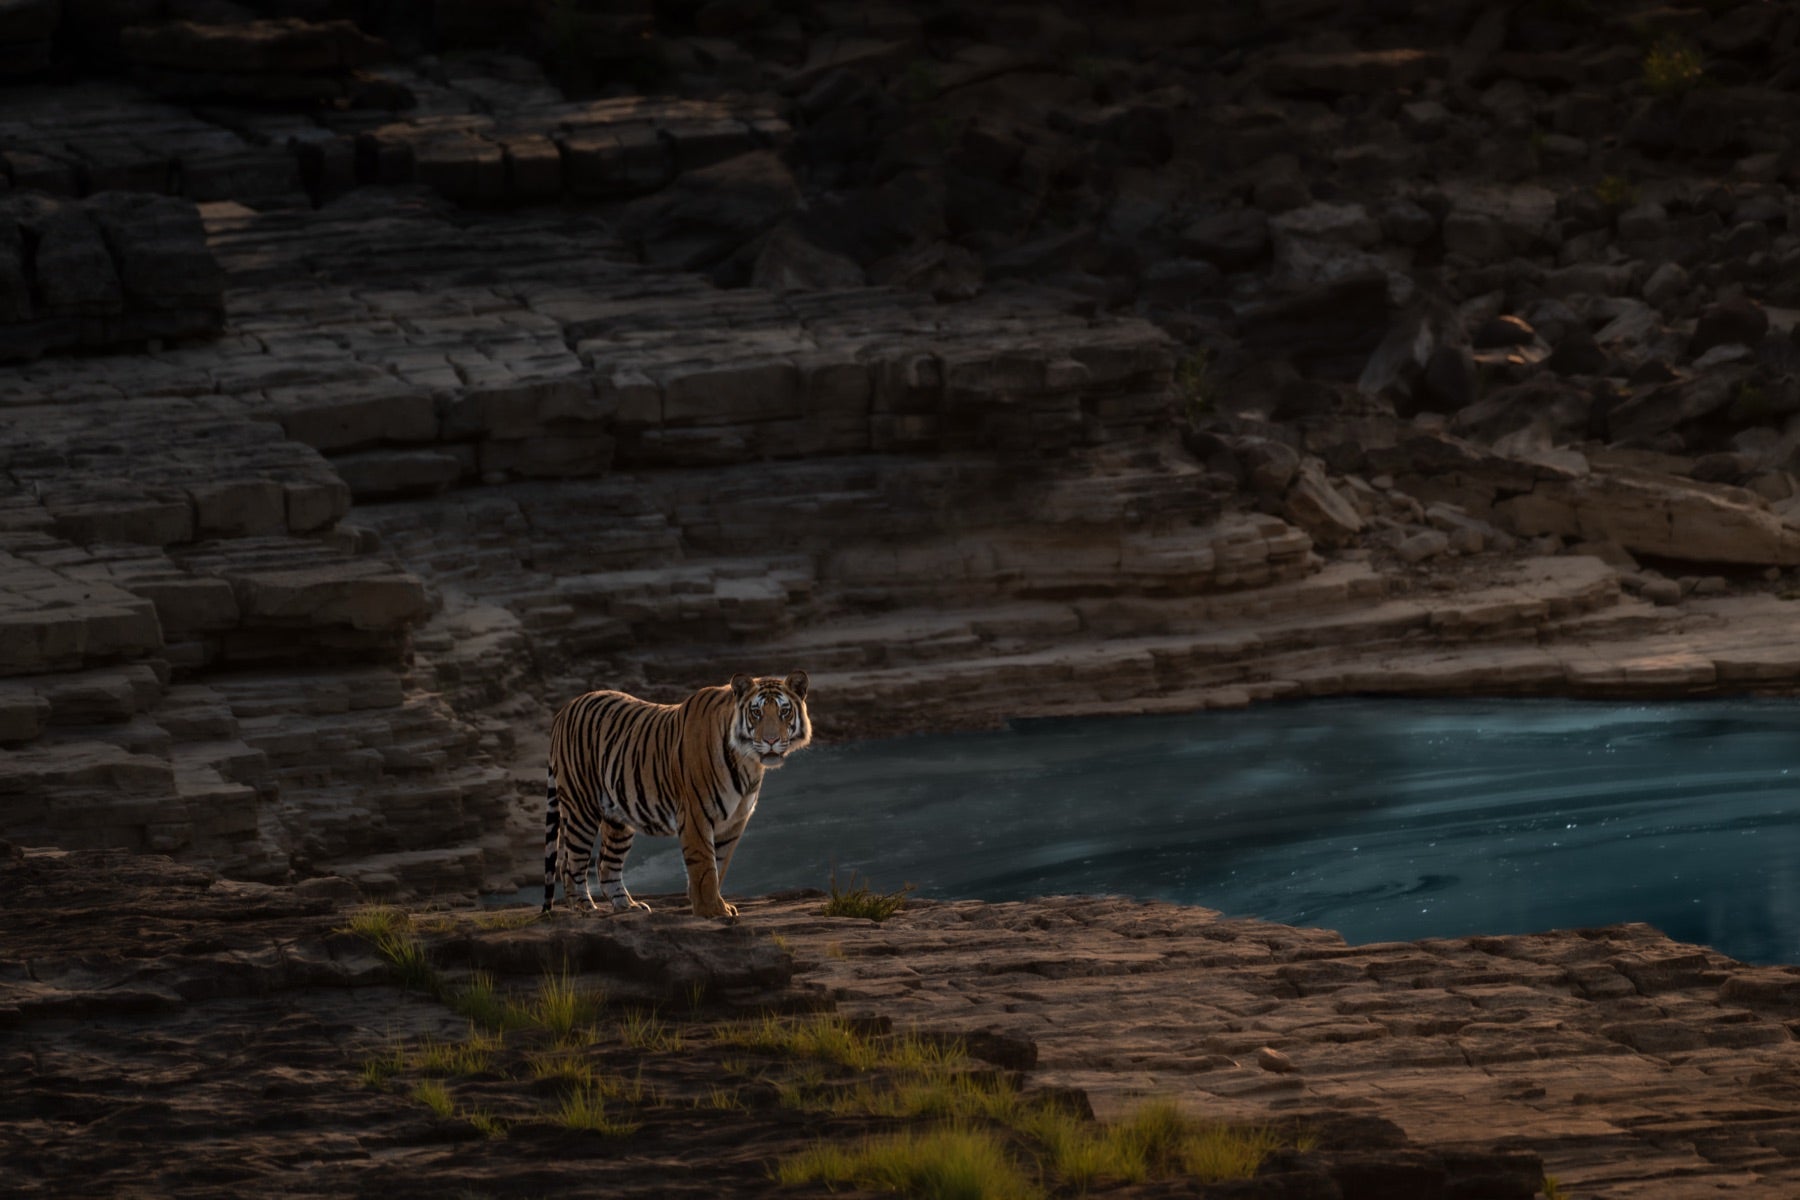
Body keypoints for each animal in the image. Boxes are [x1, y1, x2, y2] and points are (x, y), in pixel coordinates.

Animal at [541, 671, 812, 918]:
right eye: (756, 712)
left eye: (784, 712)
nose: (771, 740)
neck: (748, 762)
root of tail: (565, 709)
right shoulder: (696, 813)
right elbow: (704, 865)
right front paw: (712, 910)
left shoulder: (735, 820)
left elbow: (719, 863)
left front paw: (709, 904)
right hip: (581, 808)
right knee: (571, 862)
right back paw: (584, 907)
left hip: (618, 816)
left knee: (606, 863)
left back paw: (628, 906)